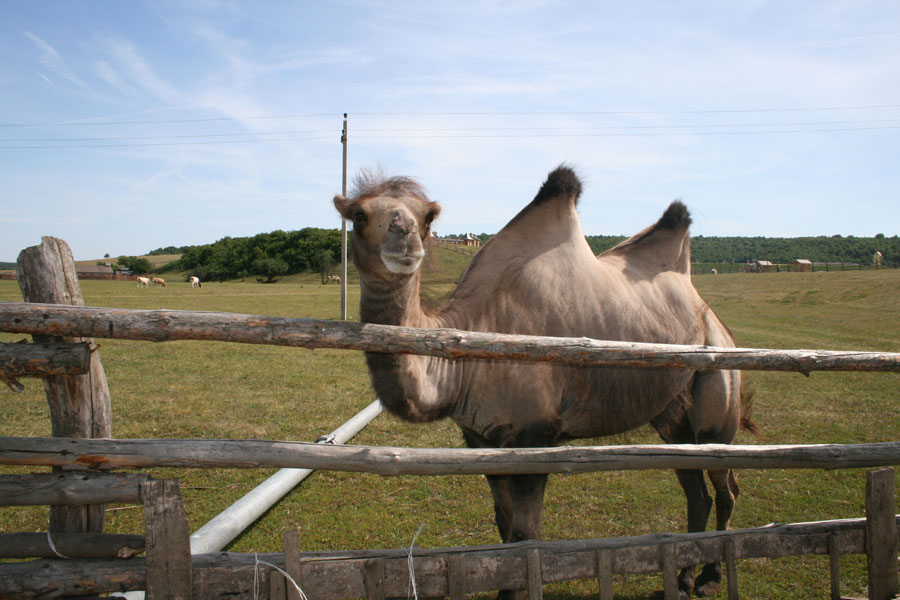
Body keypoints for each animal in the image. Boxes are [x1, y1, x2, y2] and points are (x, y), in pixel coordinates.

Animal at [332, 165, 752, 600]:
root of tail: (712, 317)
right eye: (358, 215)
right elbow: (503, 527)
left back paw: (709, 577)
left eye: (427, 217)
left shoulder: (534, 436)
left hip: (718, 389)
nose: (404, 238)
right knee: (696, 489)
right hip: (671, 412)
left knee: (726, 485)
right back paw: (683, 578)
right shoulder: (481, 438)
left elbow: (524, 536)